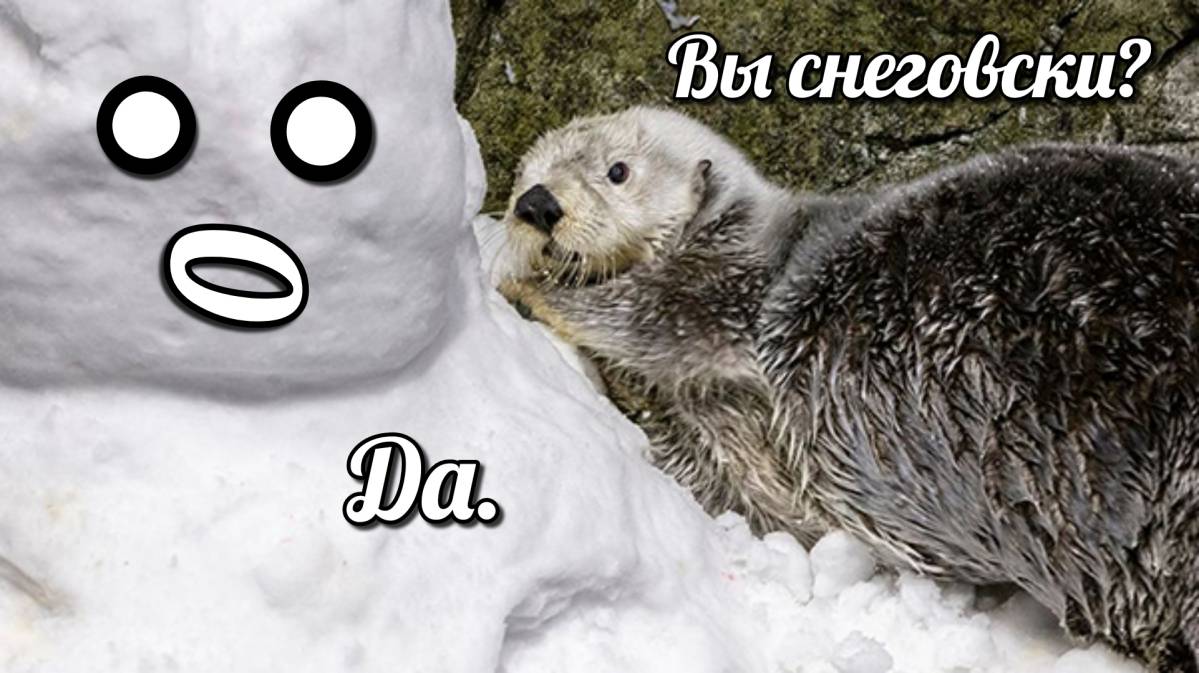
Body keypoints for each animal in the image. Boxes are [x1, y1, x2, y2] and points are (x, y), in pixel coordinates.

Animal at [496, 106, 1199, 672]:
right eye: (523, 173)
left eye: (617, 172)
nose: (536, 204)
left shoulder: (724, 291)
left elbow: (653, 317)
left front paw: (523, 286)